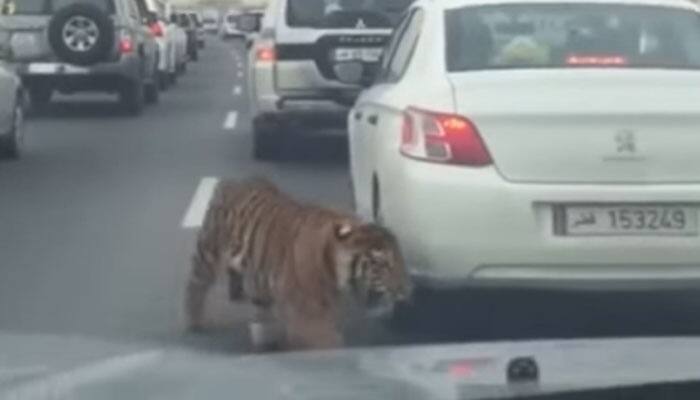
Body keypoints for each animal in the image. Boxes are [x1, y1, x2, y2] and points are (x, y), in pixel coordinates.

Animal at [183, 178, 412, 350]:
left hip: (258, 279)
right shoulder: (309, 314)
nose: (405, 290)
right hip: (208, 252)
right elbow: (325, 341)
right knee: (195, 285)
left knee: (261, 308)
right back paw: (194, 323)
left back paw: (265, 339)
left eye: (401, 258)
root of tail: (233, 181)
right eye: (382, 262)